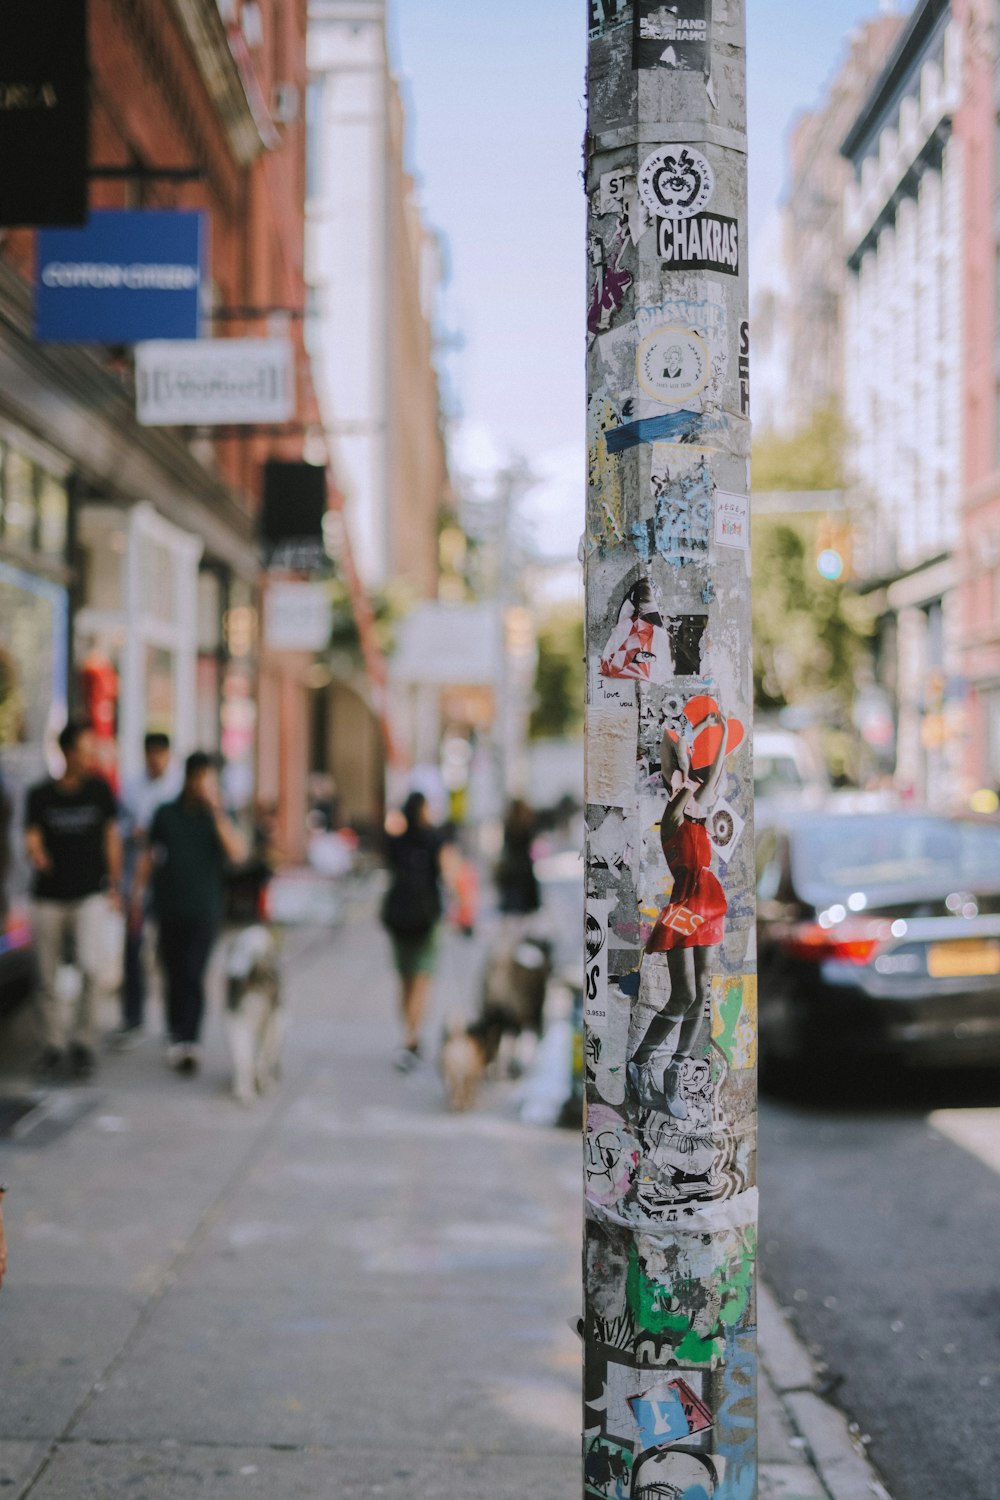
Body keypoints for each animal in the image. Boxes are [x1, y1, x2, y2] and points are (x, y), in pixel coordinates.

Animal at [221, 918, 280, 1110]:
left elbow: (250, 1059)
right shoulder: (274, 1023)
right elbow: (262, 1058)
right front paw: (264, 1082)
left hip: (238, 1023)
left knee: (244, 1059)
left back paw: (245, 1092)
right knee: (251, 1059)